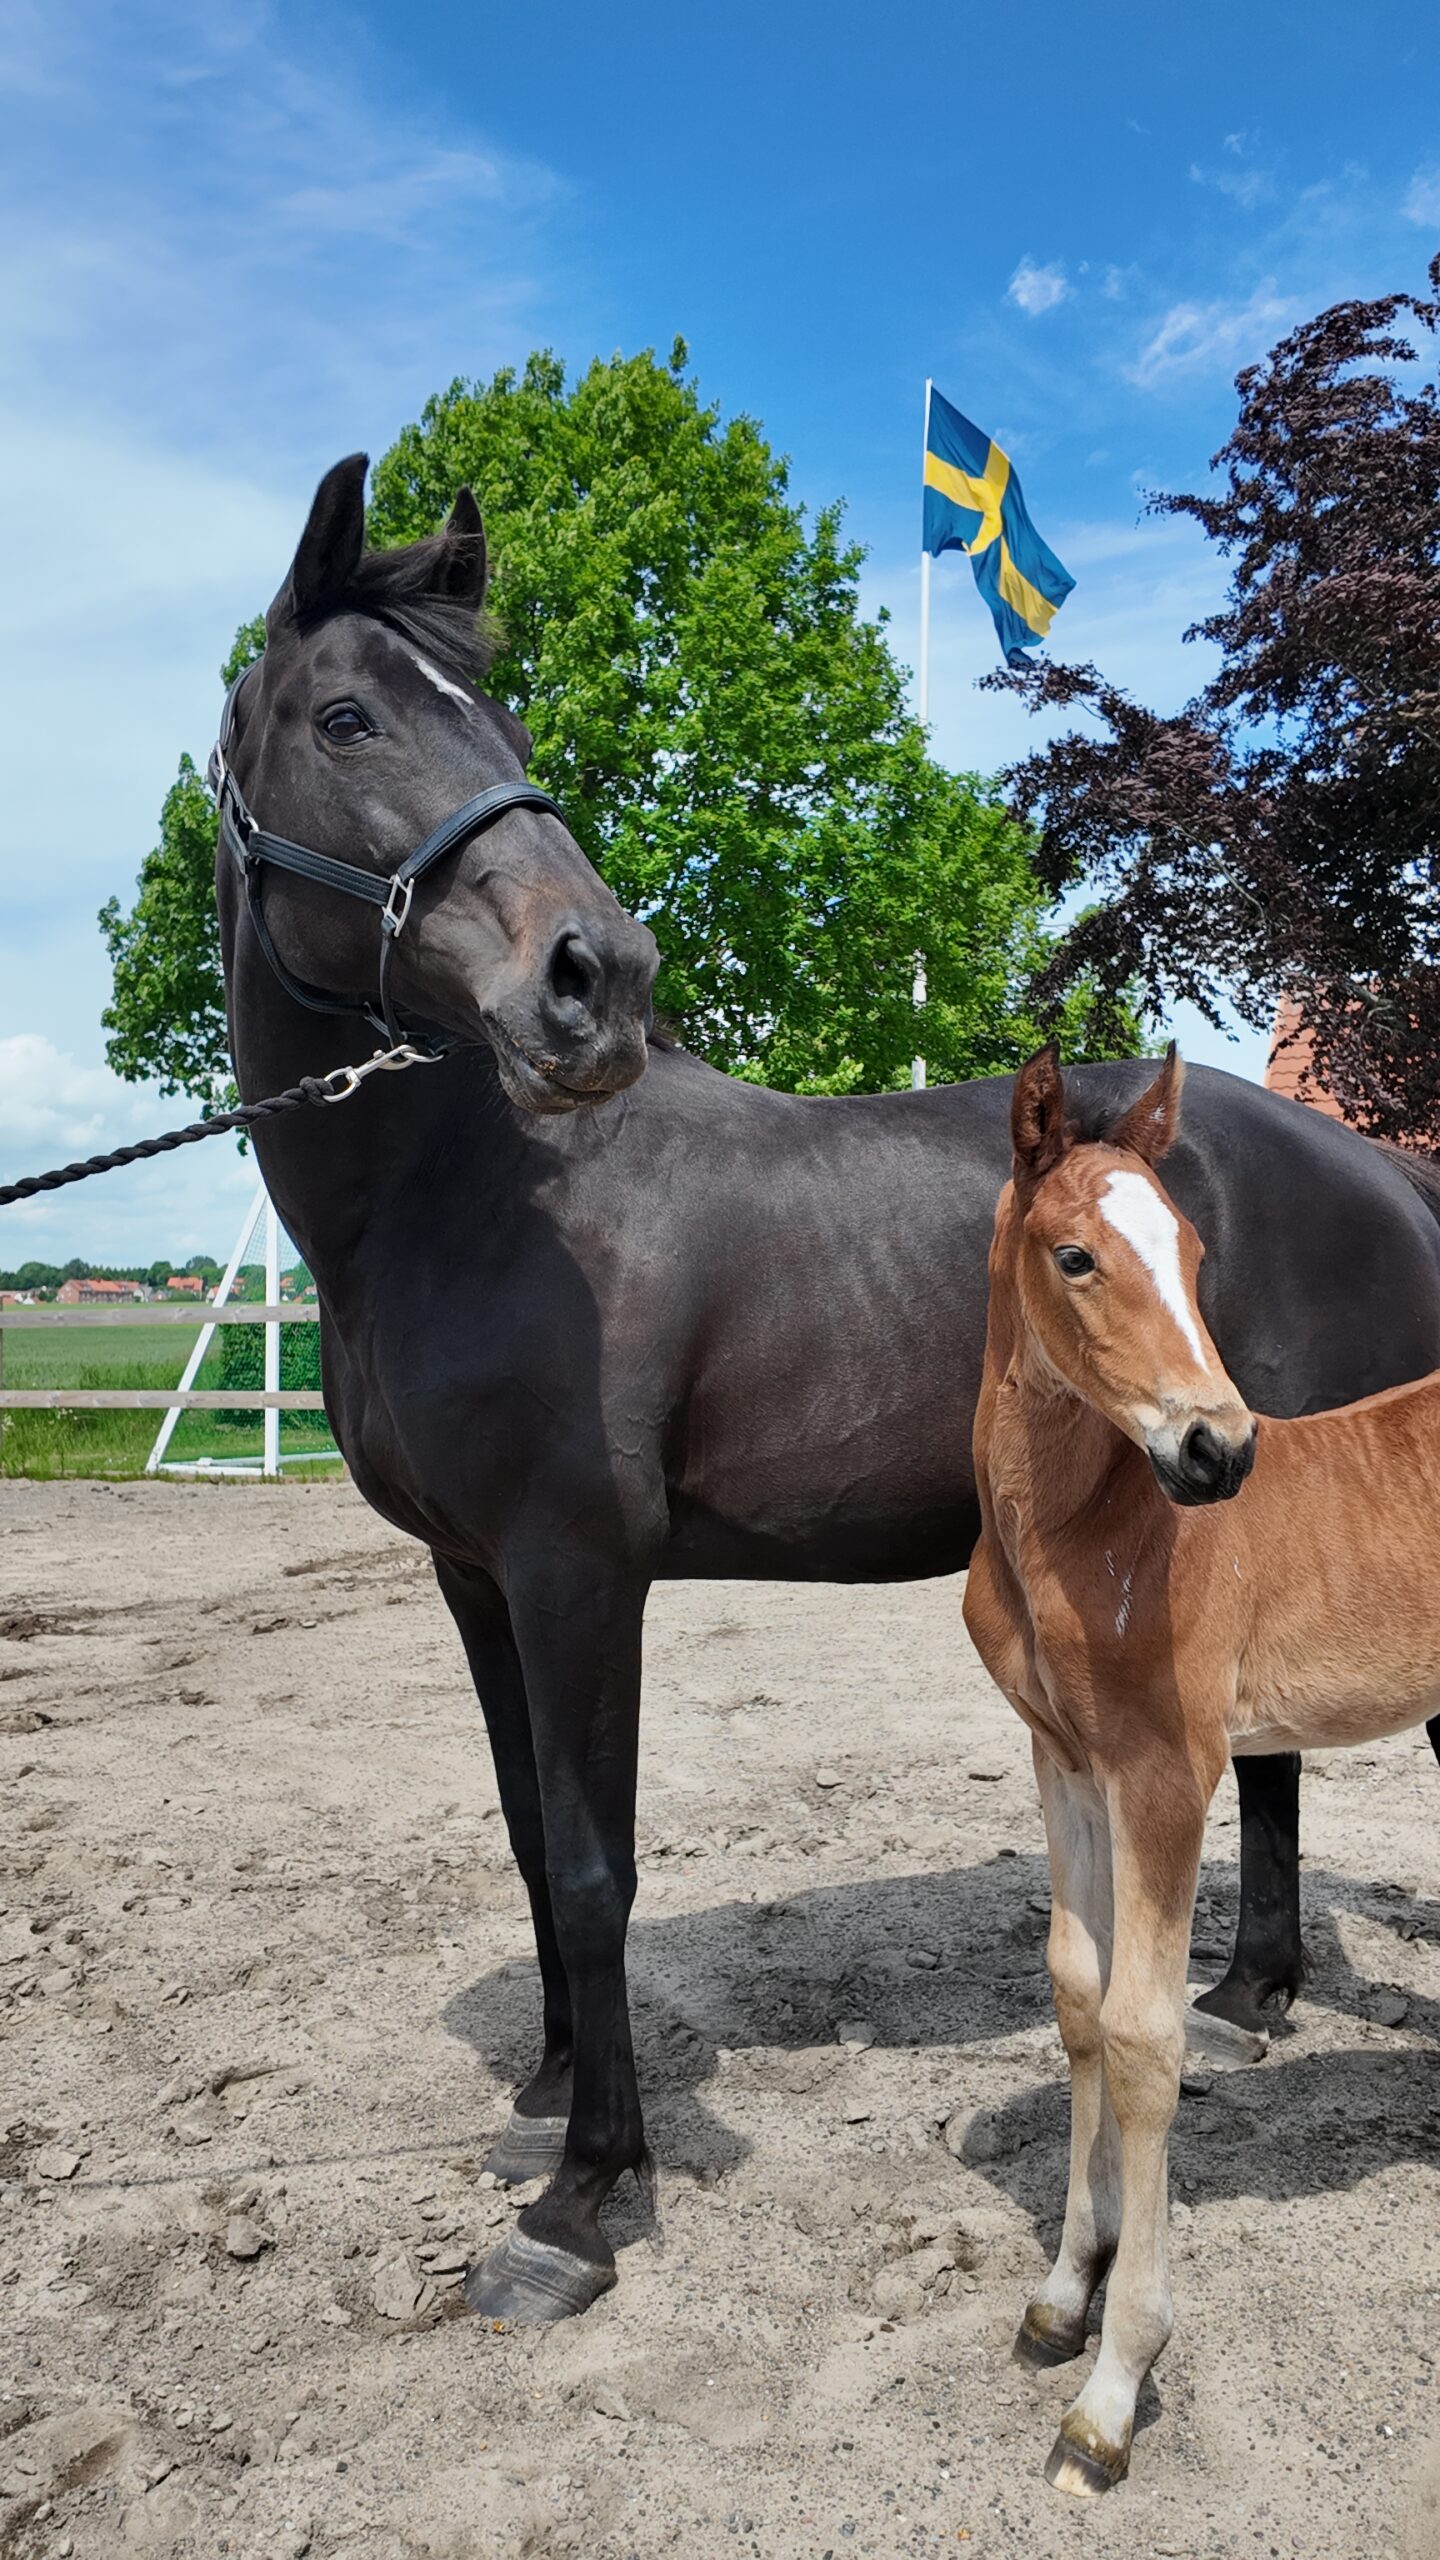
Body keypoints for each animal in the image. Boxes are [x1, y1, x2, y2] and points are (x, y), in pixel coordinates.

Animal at [215, 460, 1440, 2324]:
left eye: (500, 717)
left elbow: (596, 1860)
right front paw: (556, 2086)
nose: (598, 978)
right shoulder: (476, 1580)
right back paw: (1249, 1995)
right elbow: (529, 1834)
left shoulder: (581, 1573)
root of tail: (1384, 1168)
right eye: (348, 717)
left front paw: (588, 2197)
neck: (474, 1194)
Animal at [958, 1044, 1434, 2498]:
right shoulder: (1066, 1760)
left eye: (1196, 1250)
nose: (1219, 1451)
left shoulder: (1170, 1773)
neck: (1091, 1531)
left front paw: (1113, 2391)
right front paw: (1065, 2294)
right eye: (1075, 1256)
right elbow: (1078, 1993)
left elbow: (1146, 2035)